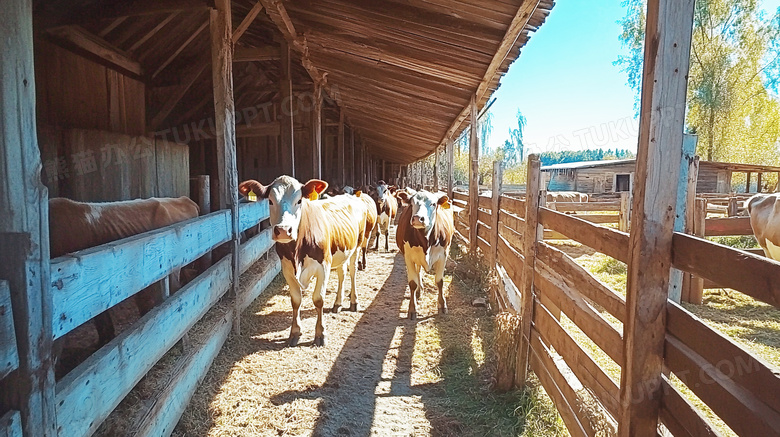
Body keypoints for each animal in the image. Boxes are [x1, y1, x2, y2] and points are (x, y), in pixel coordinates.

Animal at [238, 175, 368, 346]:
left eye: (299, 200)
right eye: (270, 201)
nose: (283, 230)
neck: (297, 251)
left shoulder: (324, 266)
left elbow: (318, 299)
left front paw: (320, 334)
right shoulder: (287, 268)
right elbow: (295, 300)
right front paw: (295, 332)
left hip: (357, 245)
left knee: (352, 271)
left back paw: (354, 302)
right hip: (341, 251)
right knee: (342, 273)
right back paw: (337, 303)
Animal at [400, 188, 454, 320]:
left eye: (433, 204)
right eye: (411, 203)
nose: (417, 218)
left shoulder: (443, 255)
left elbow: (439, 281)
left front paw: (442, 305)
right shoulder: (408, 257)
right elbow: (412, 283)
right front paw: (412, 308)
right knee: (418, 271)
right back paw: (419, 290)